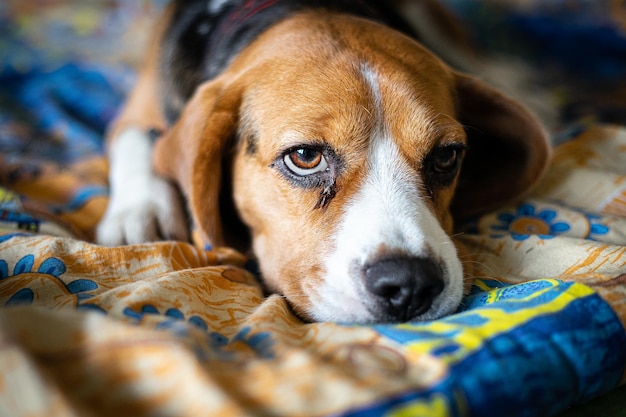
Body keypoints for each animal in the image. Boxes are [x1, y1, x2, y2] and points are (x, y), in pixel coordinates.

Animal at [95, 0, 548, 324]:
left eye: (446, 155)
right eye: (305, 157)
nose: (410, 285)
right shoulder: (135, 110)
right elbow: (136, 138)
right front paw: (141, 211)